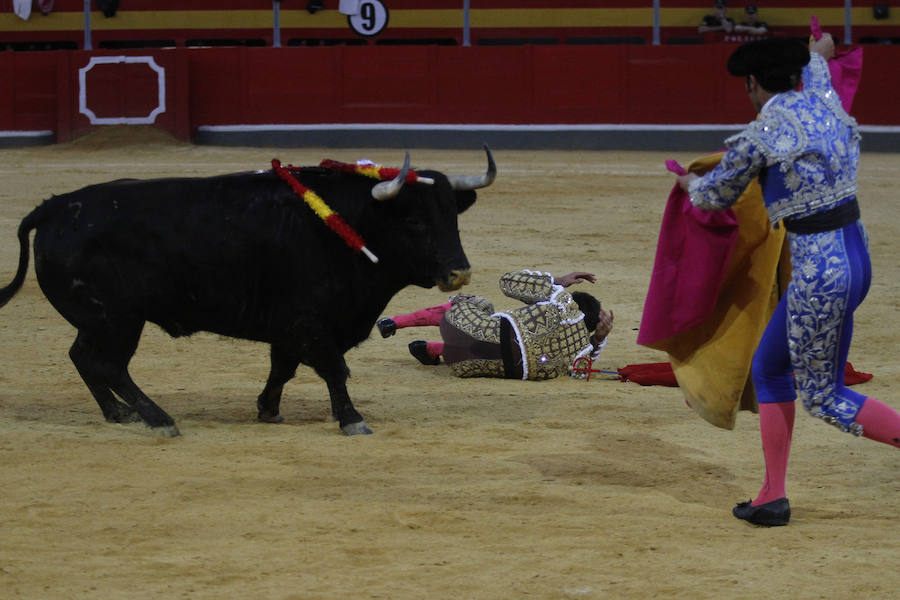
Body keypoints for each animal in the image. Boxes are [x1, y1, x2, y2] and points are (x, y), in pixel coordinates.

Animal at [0, 145, 496, 436]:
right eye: (413, 221)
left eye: (452, 217)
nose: (459, 274)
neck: (348, 225)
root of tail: (53, 207)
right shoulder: (310, 321)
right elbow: (333, 369)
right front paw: (352, 419)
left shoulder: (291, 327)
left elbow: (283, 369)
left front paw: (268, 409)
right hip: (118, 319)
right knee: (107, 364)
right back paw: (158, 419)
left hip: (98, 320)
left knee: (83, 358)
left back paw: (118, 413)